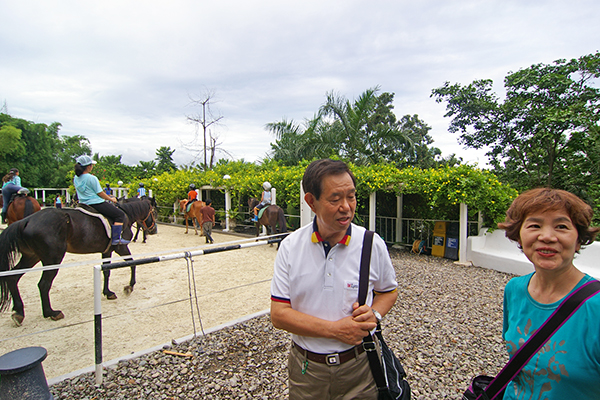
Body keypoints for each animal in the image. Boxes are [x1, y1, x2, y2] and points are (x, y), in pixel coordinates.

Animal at [0, 199, 157, 324]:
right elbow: (132, 263)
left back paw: (19, 312)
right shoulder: (121, 247)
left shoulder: (106, 251)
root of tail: (26, 221)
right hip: (52, 258)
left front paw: (108, 292)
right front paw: (129, 286)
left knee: (12, 277)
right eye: (154, 213)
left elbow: (106, 271)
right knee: (43, 284)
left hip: (31, 256)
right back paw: (51, 313)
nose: (154, 230)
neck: (126, 215)